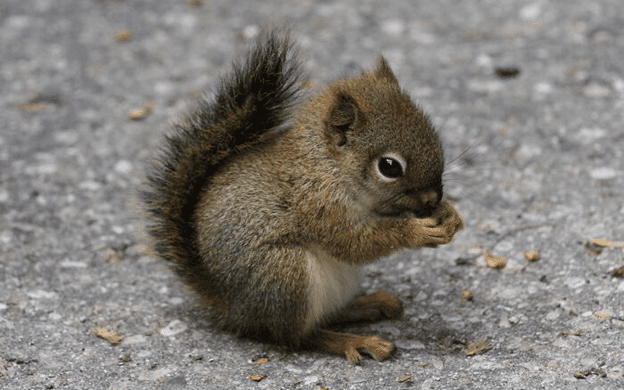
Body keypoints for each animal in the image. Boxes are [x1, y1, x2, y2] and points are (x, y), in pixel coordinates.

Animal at [143, 29, 464, 362]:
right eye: (389, 167)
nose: (432, 199)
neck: (327, 165)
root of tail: (234, 307)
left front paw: (450, 215)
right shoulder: (317, 204)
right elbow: (353, 241)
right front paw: (416, 231)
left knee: (325, 316)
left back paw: (368, 304)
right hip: (285, 274)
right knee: (296, 336)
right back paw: (353, 341)